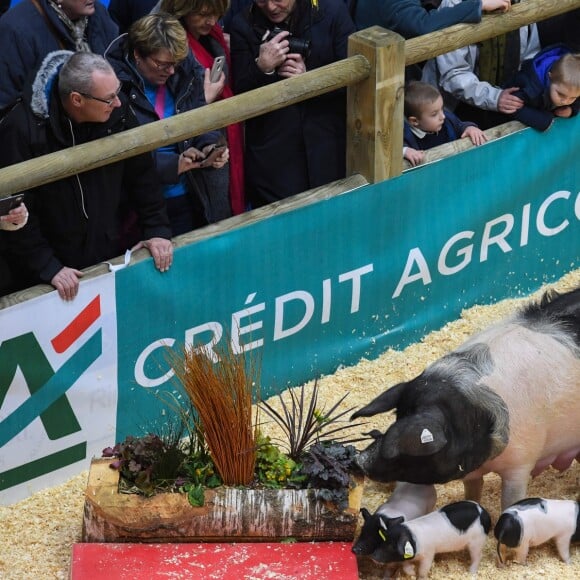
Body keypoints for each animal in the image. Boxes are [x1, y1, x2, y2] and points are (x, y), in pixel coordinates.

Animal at [348, 288, 580, 510]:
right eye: (398, 416)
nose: (359, 460)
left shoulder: (521, 463)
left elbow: (511, 499)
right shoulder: (472, 471)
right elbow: (473, 490)